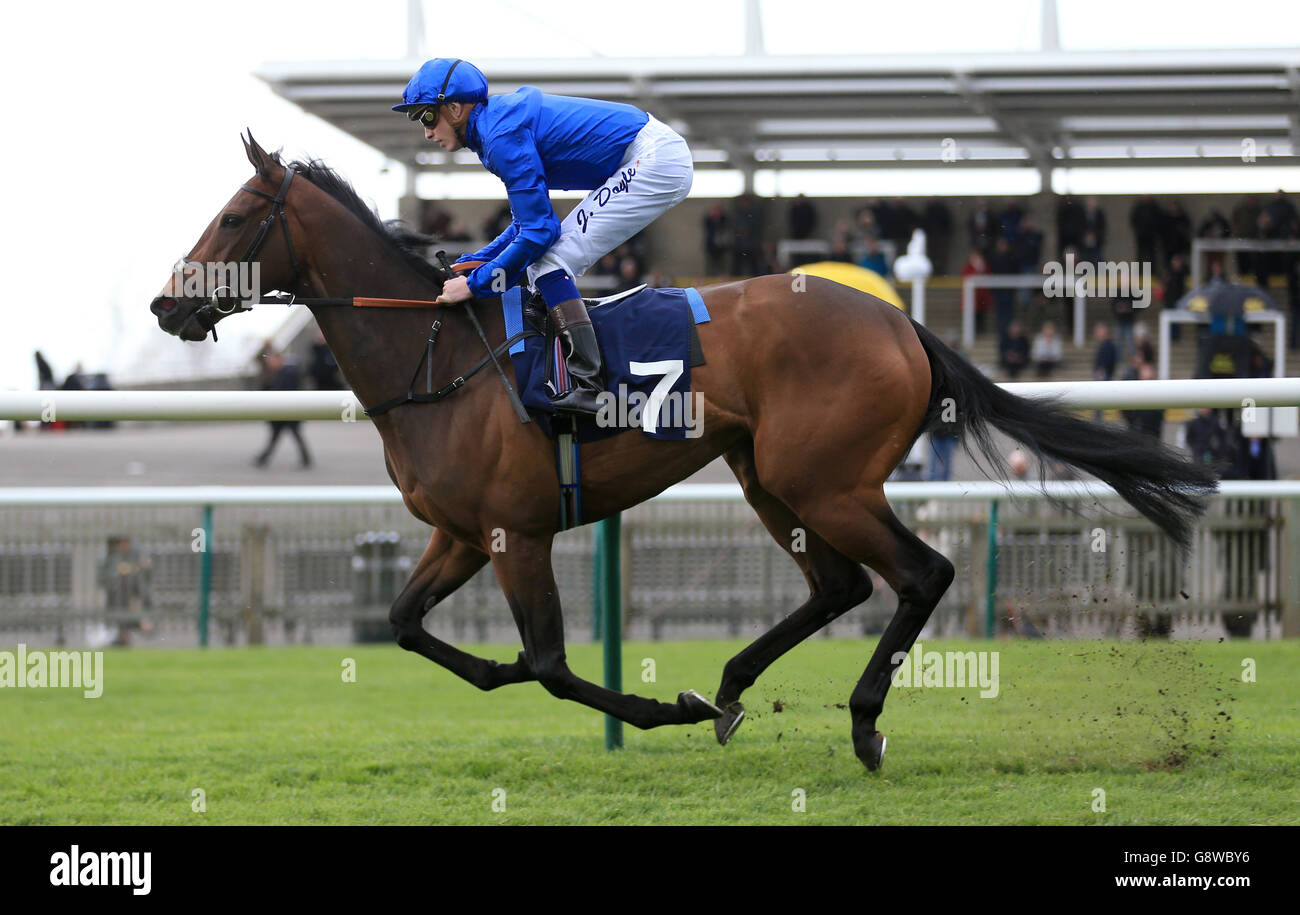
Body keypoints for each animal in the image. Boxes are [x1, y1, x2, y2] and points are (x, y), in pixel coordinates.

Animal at [149, 132, 1216, 769]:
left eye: (236, 217)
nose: (166, 304)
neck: (443, 355)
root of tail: (901, 321)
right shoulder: (459, 532)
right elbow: (413, 627)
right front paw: (658, 696)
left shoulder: (516, 532)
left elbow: (550, 662)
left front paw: (661, 710)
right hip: (767, 474)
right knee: (840, 586)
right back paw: (737, 687)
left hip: (825, 481)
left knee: (922, 572)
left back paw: (862, 719)